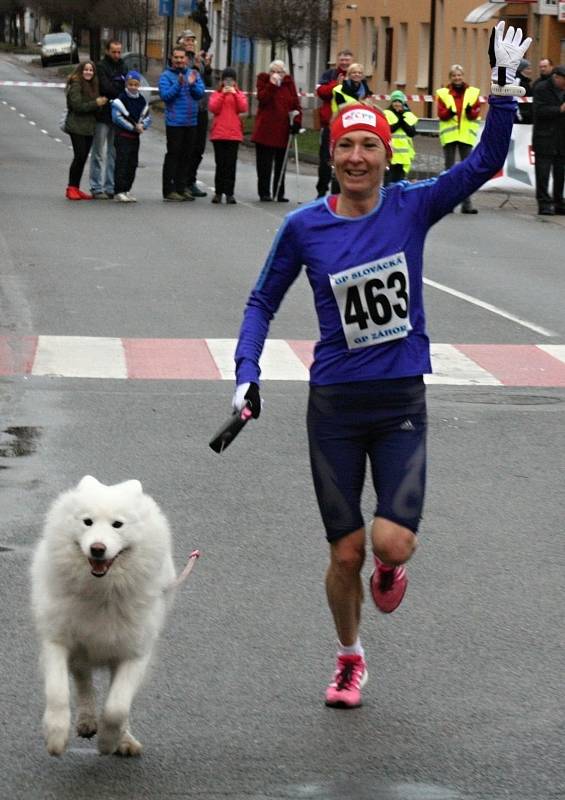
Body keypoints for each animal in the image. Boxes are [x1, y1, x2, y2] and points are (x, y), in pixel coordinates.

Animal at [30, 476, 175, 756]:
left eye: (117, 524)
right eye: (87, 522)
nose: (98, 549)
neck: (102, 594)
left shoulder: (135, 654)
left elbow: (117, 707)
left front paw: (109, 741)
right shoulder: (58, 641)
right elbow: (58, 692)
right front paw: (55, 737)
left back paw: (124, 740)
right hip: (81, 652)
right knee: (83, 681)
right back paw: (86, 722)